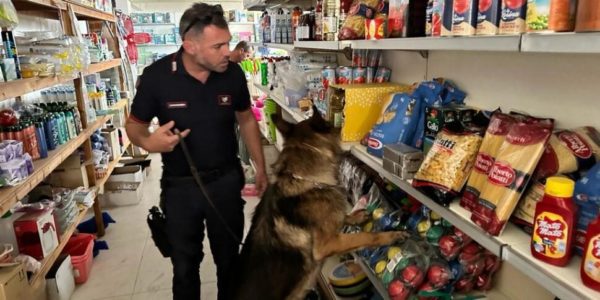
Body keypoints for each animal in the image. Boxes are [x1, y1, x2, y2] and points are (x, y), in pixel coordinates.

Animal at [232, 110, 410, 300]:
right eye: (331, 124)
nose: (343, 127)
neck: (305, 179)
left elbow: (342, 217)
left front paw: (357, 216)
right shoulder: (328, 244)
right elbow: (365, 237)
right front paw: (391, 236)